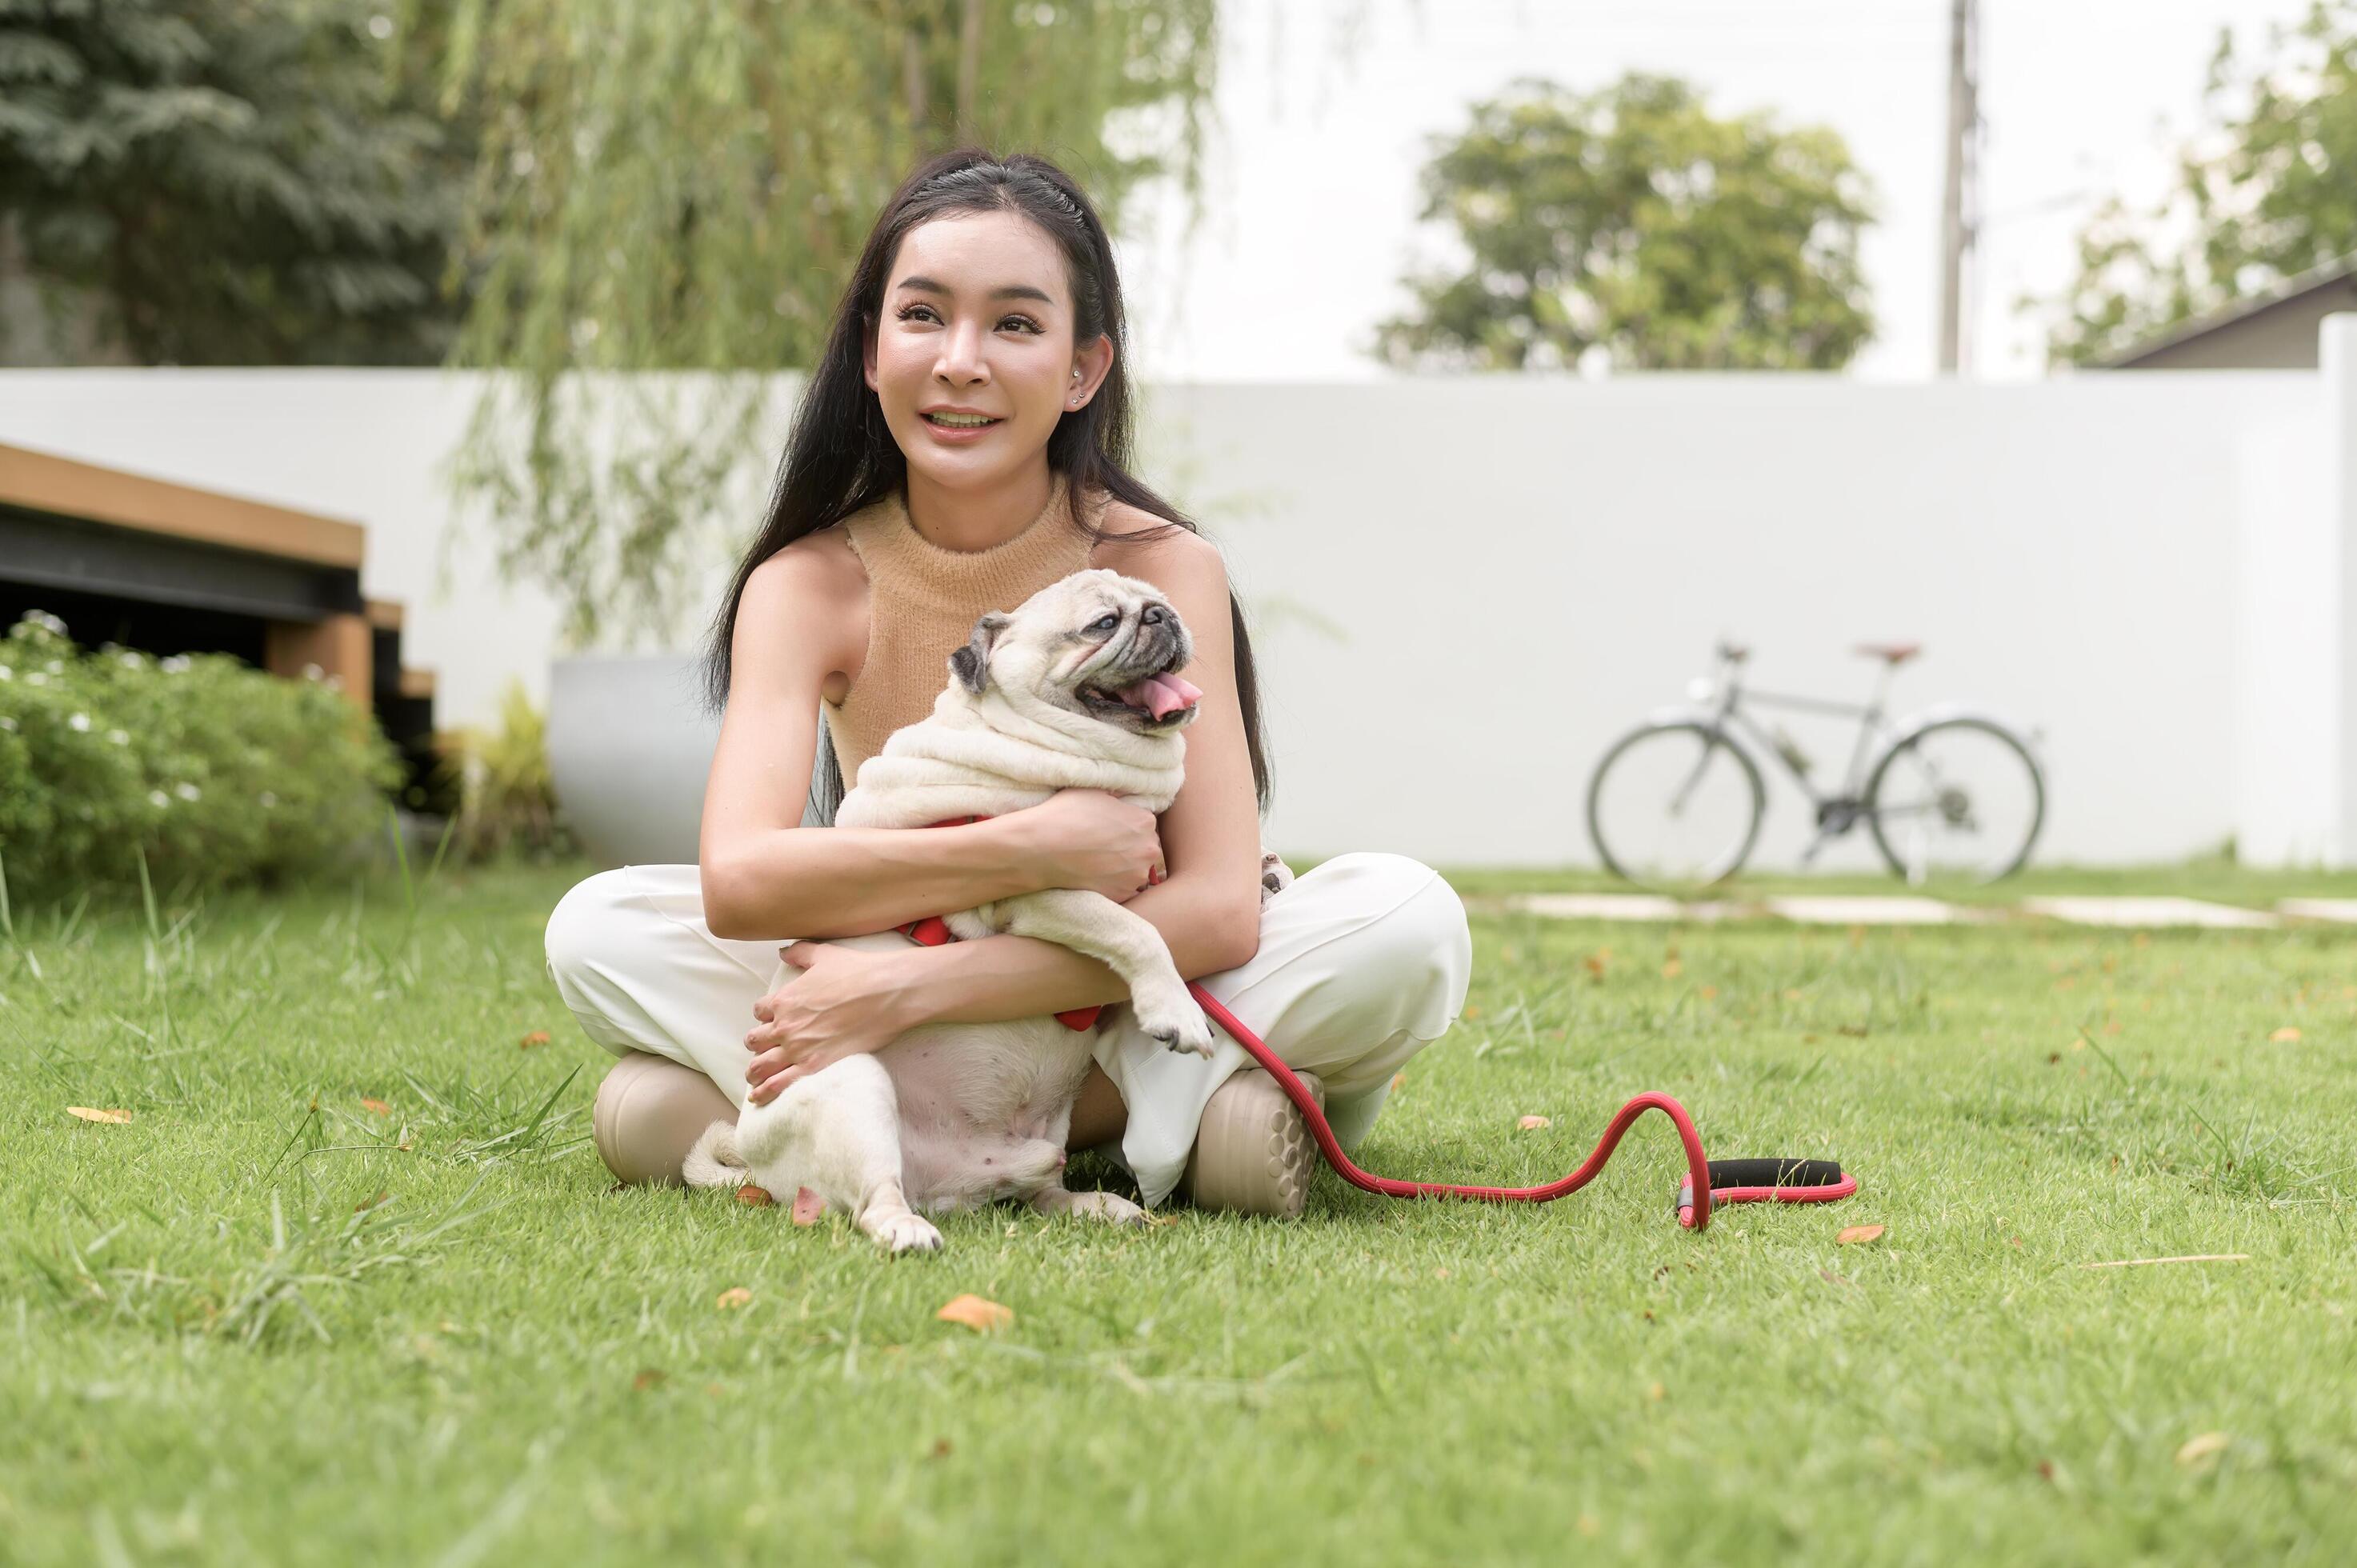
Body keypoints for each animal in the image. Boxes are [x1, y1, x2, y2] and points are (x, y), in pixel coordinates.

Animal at [683, 568, 1291, 1254]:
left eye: (1157, 601)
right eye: (1104, 624)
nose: (1162, 615)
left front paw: (1268, 873)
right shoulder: (1037, 890)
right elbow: (1137, 930)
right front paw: (1176, 1010)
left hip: (1044, 1135)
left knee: (1041, 1192)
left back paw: (1096, 1205)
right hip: (854, 1086)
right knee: (874, 1197)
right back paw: (905, 1228)